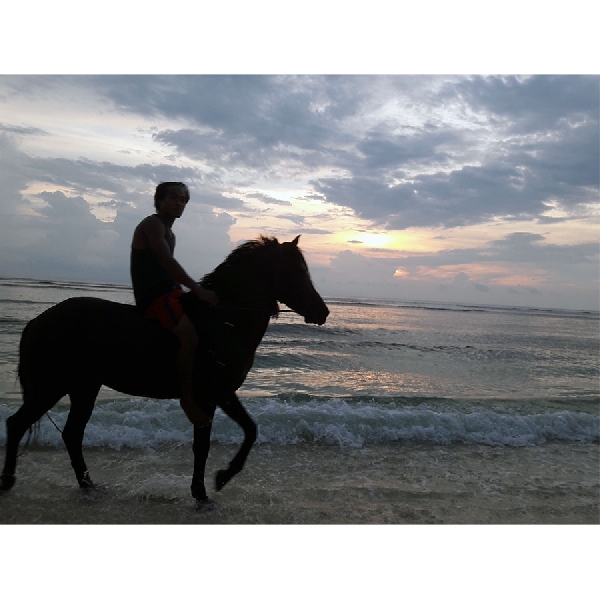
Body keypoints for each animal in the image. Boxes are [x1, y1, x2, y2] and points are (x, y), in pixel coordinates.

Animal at [0, 237, 328, 504]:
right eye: (298, 271)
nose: (322, 311)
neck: (224, 320)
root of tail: (38, 320)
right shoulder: (209, 395)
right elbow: (203, 445)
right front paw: (202, 492)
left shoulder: (222, 392)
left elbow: (250, 430)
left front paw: (223, 476)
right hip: (51, 387)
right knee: (18, 424)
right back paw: (9, 480)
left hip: (84, 388)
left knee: (71, 433)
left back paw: (88, 484)